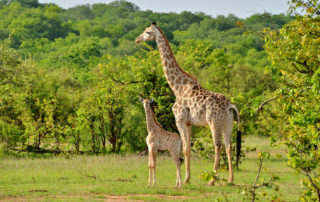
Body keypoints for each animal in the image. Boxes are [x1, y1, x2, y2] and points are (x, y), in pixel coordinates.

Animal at [135, 22, 240, 185]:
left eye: (147, 32)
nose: (137, 39)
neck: (178, 87)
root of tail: (230, 106)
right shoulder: (190, 123)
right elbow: (188, 148)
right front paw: (188, 178)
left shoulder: (180, 119)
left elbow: (184, 148)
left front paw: (184, 180)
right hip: (228, 123)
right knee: (229, 146)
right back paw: (230, 179)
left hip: (213, 122)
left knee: (218, 145)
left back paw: (212, 180)